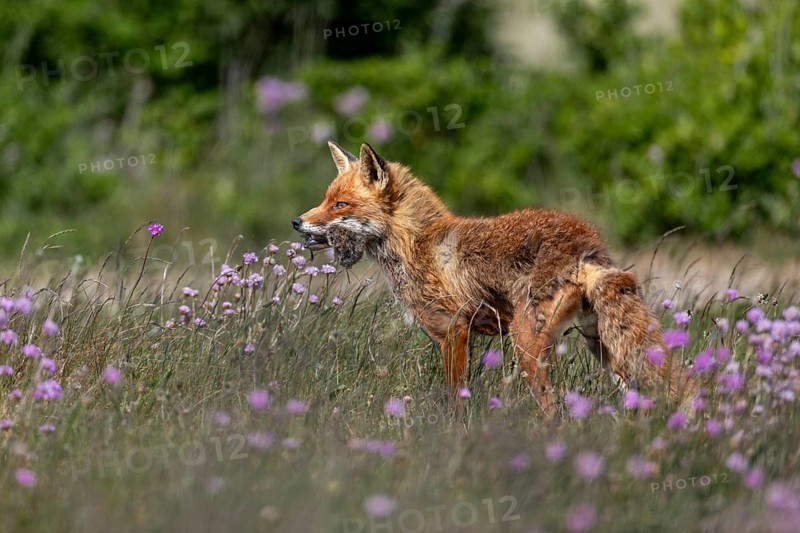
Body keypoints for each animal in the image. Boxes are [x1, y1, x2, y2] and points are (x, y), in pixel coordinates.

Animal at [292, 141, 691, 413]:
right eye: (325, 199)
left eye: (340, 205)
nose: (296, 222)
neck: (416, 244)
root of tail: (587, 247)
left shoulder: (453, 331)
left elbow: (455, 398)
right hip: (604, 348)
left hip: (526, 344)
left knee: (554, 409)